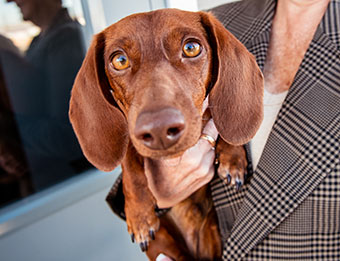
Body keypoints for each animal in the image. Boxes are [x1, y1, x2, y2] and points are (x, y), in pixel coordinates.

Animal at [69, 9, 264, 258]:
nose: (159, 130)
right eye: (120, 60)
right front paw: (140, 215)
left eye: (191, 47)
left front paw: (233, 155)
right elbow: (130, 164)